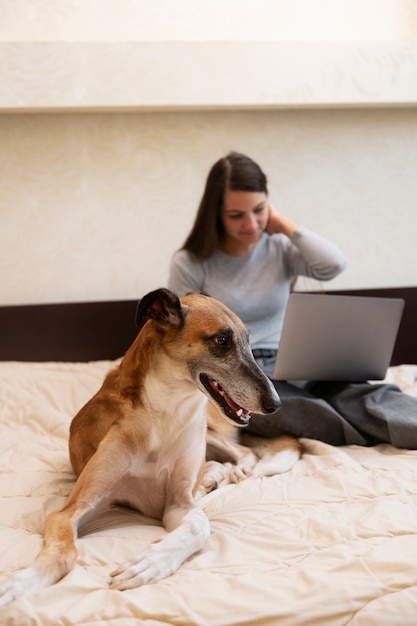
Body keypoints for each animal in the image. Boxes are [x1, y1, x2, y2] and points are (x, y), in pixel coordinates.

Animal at [0, 288, 300, 604]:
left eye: (248, 342)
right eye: (221, 340)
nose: (275, 404)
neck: (164, 412)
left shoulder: (179, 503)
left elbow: (200, 525)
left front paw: (149, 563)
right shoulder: (75, 508)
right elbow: (62, 554)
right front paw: (18, 583)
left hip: (205, 431)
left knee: (243, 452)